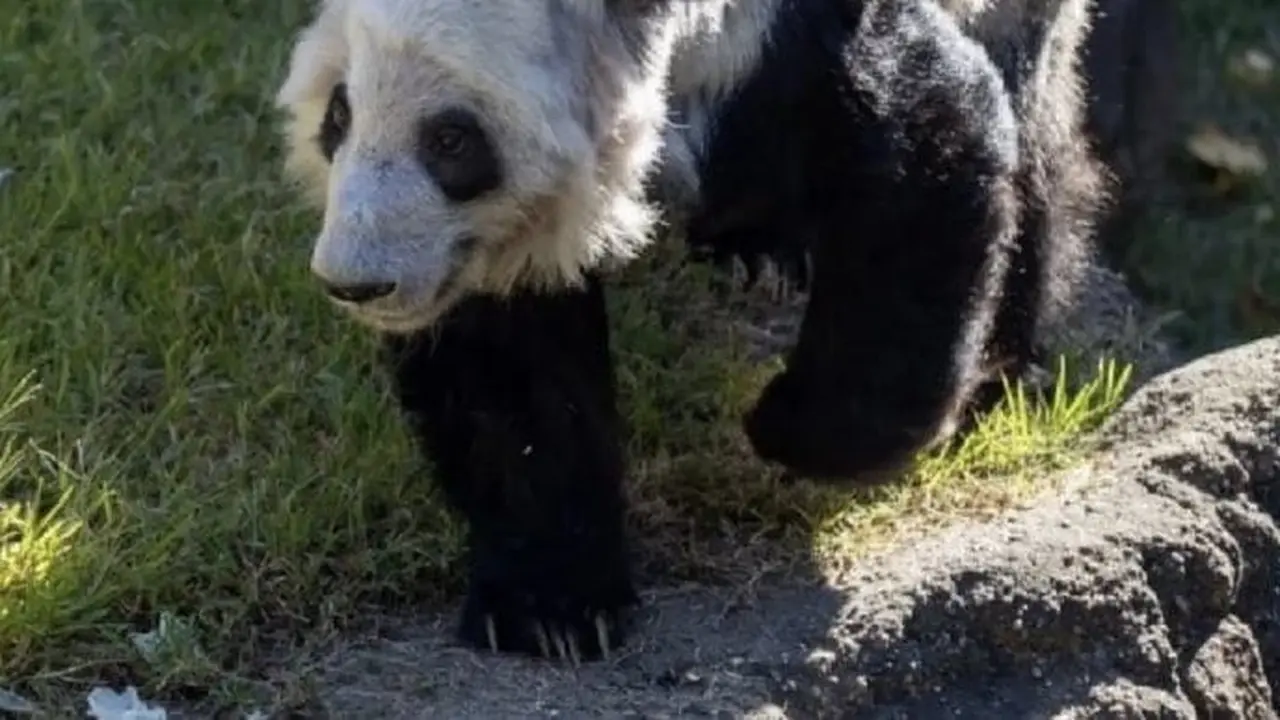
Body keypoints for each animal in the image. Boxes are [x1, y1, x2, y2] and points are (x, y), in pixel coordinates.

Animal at [274, 0, 1104, 663]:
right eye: (338, 117)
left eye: (451, 141)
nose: (357, 282)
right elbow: (508, 360)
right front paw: (550, 606)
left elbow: (930, 138)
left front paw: (787, 427)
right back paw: (754, 243)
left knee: (1029, 109)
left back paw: (997, 374)